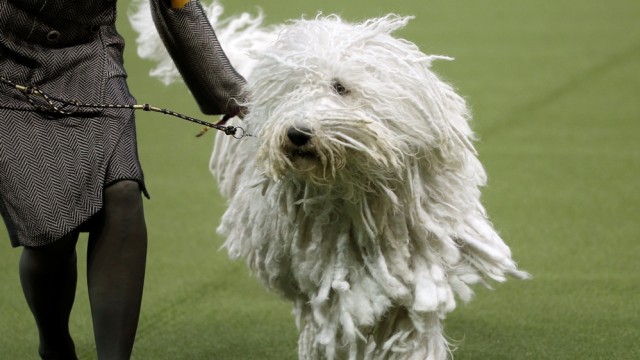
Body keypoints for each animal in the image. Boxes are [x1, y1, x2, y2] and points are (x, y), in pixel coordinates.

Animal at [131, 1, 528, 358]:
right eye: (290, 90)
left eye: (339, 87)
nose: (297, 133)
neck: (354, 190)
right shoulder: (324, 271)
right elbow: (335, 322)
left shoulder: (416, 264)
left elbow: (409, 323)